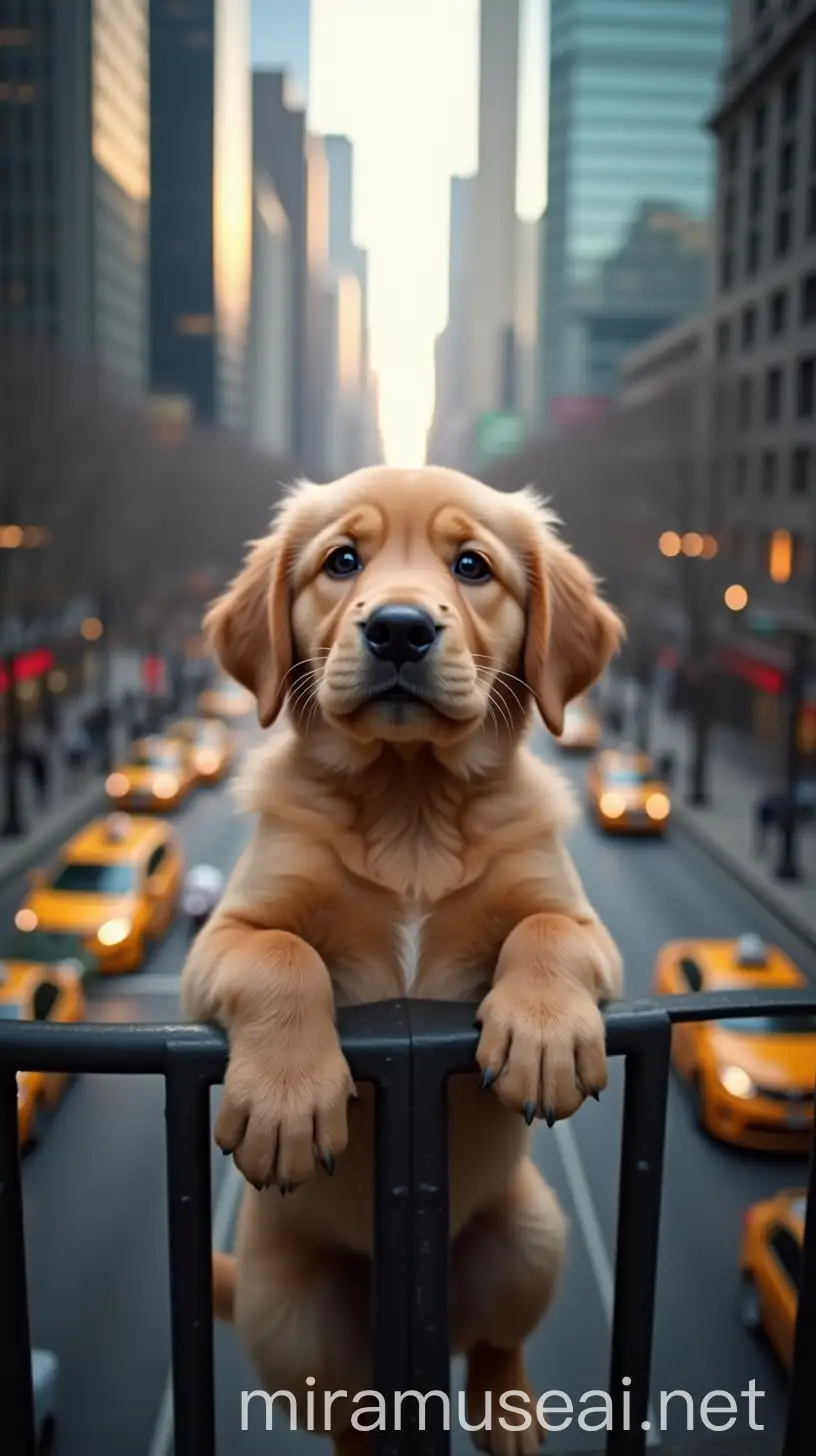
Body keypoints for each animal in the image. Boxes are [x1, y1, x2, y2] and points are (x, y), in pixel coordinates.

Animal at [181, 468, 620, 1456]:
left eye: (474, 566)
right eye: (343, 561)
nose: (398, 628)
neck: (409, 801)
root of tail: (421, 1320)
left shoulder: (583, 920)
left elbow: (546, 933)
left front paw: (541, 1036)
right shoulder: (221, 935)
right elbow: (281, 952)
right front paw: (288, 1099)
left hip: (528, 1238)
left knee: (493, 1346)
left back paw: (508, 1413)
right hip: (297, 1320)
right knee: (356, 1414)